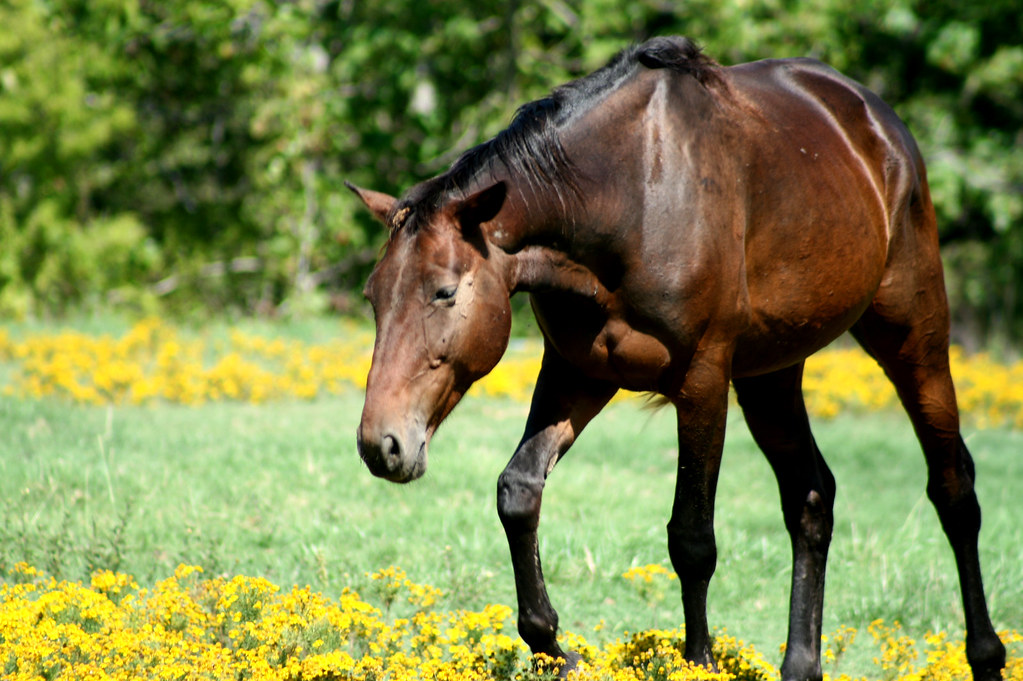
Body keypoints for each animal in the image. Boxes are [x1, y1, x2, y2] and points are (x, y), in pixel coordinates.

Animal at [349, 35, 1006, 678]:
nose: (382, 445)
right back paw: (801, 664)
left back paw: (986, 654)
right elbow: (518, 492)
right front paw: (556, 649)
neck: (624, 198)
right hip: (771, 375)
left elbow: (691, 539)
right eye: (373, 295)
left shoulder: (702, 382)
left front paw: (697, 660)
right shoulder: (578, 371)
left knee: (954, 489)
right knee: (811, 498)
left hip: (913, 337)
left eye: (444, 291)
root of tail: (878, 122)